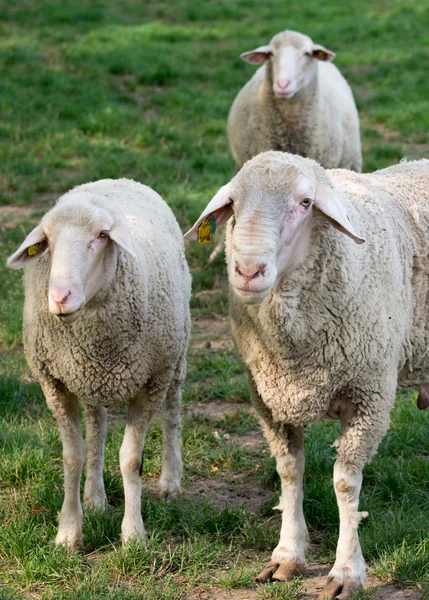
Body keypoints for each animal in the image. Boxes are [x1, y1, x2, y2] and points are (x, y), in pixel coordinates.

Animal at [6, 178, 191, 548]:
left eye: (102, 235)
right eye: (47, 240)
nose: (59, 297)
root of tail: (117, 180)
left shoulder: (150, 383)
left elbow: (131, 460)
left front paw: (133, 535)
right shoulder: (54, 384)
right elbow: (72, 456)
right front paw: (68, 533)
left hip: (174, 359)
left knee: (172, 412)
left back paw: (170, 481)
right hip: (89, 379)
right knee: (97, 427)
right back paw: (94, 497)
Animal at [186, 154, 428, 600]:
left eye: (304, 203)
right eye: (233, 202)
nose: (248, 270)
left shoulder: (368, 396)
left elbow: (345, 485)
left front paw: (346, 571)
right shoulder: (268, 398)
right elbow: (288, 471)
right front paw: (288, 554)